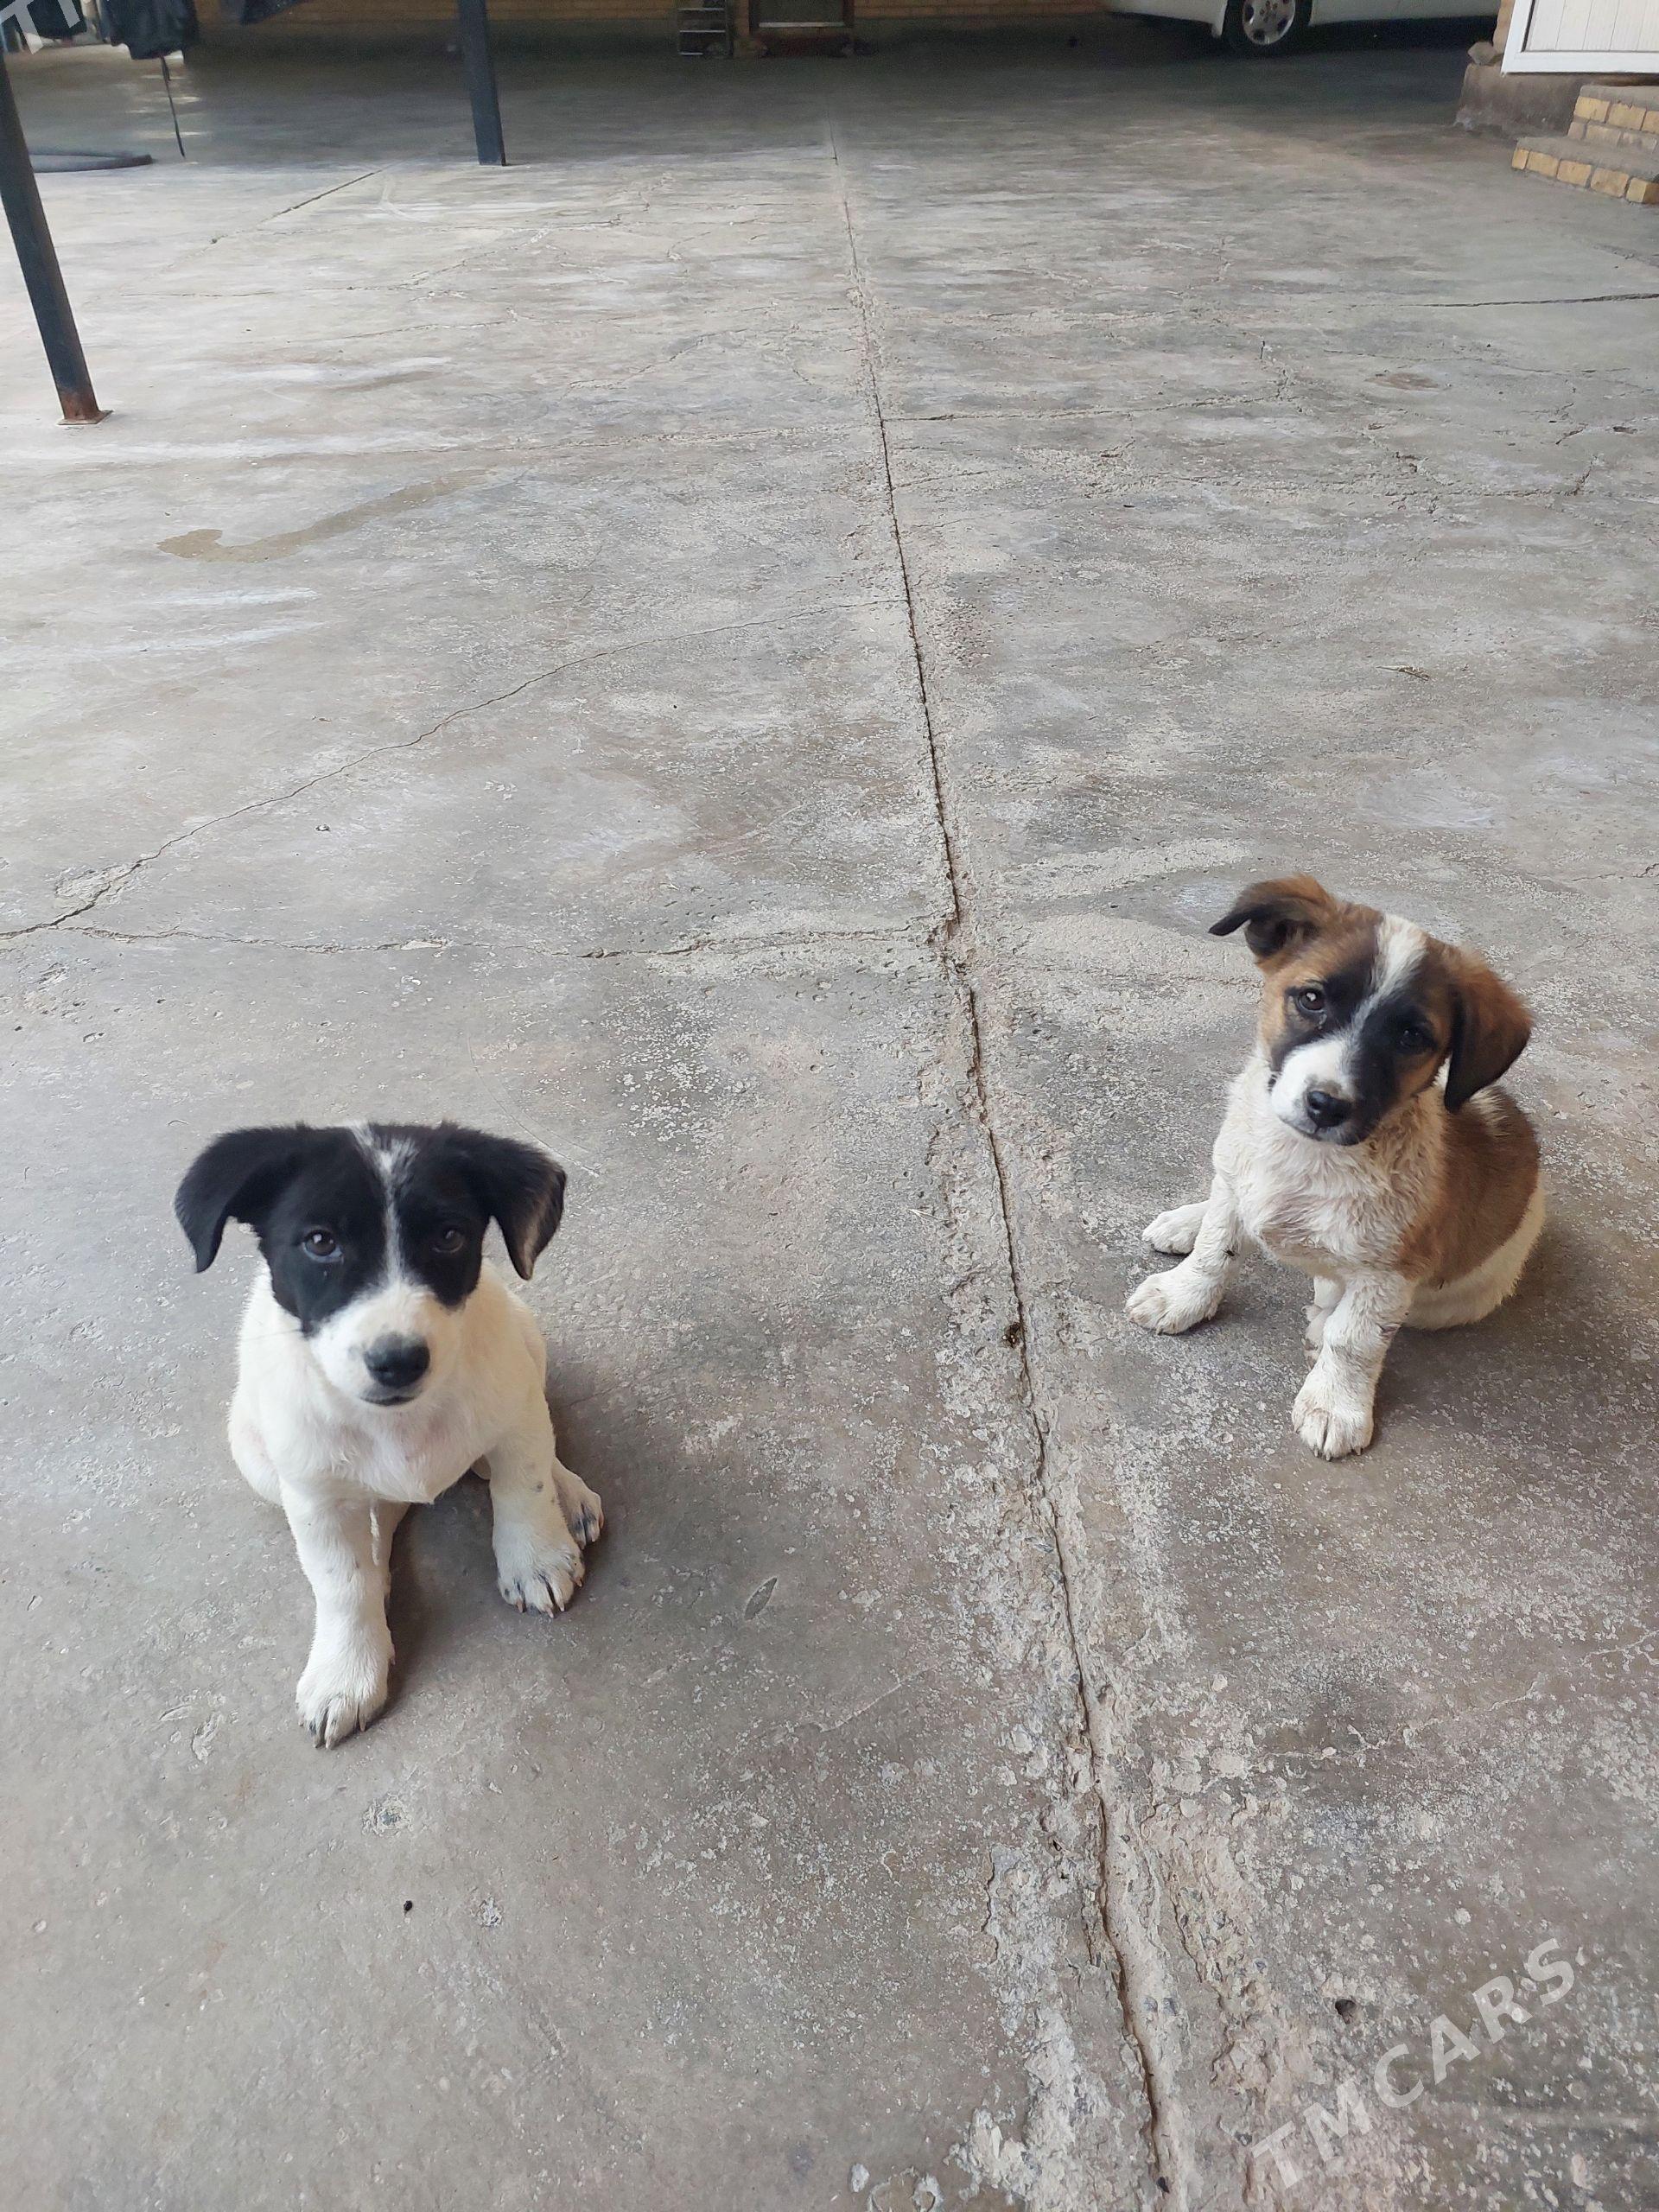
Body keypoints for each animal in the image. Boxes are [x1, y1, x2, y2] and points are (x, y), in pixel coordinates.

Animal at [175, 1121, 603, 1746]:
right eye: (320, 1242)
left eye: (449, 1237)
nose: (398, 1362)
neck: (397, 1422)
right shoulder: (315, 1495)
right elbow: (341, 1582)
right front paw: (346, 1672)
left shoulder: (514, 1410)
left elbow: (523, 1486)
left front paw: (535, 1558)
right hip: (253, 1453)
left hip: (527, 1341)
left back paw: (567, 1493)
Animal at [1126, 876, 1542, 1459]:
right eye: (1312, 999)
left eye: (1412, 1037)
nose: (1326, 1105)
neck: (1307, 1159)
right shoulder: (1237, 1181)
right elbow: (1215, 1249)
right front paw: (1183, 1295)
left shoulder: (1392, 1271)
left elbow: (1355, 1339)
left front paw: (1335, 1404)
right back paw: (1187, 1221)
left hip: (1458, 1296)